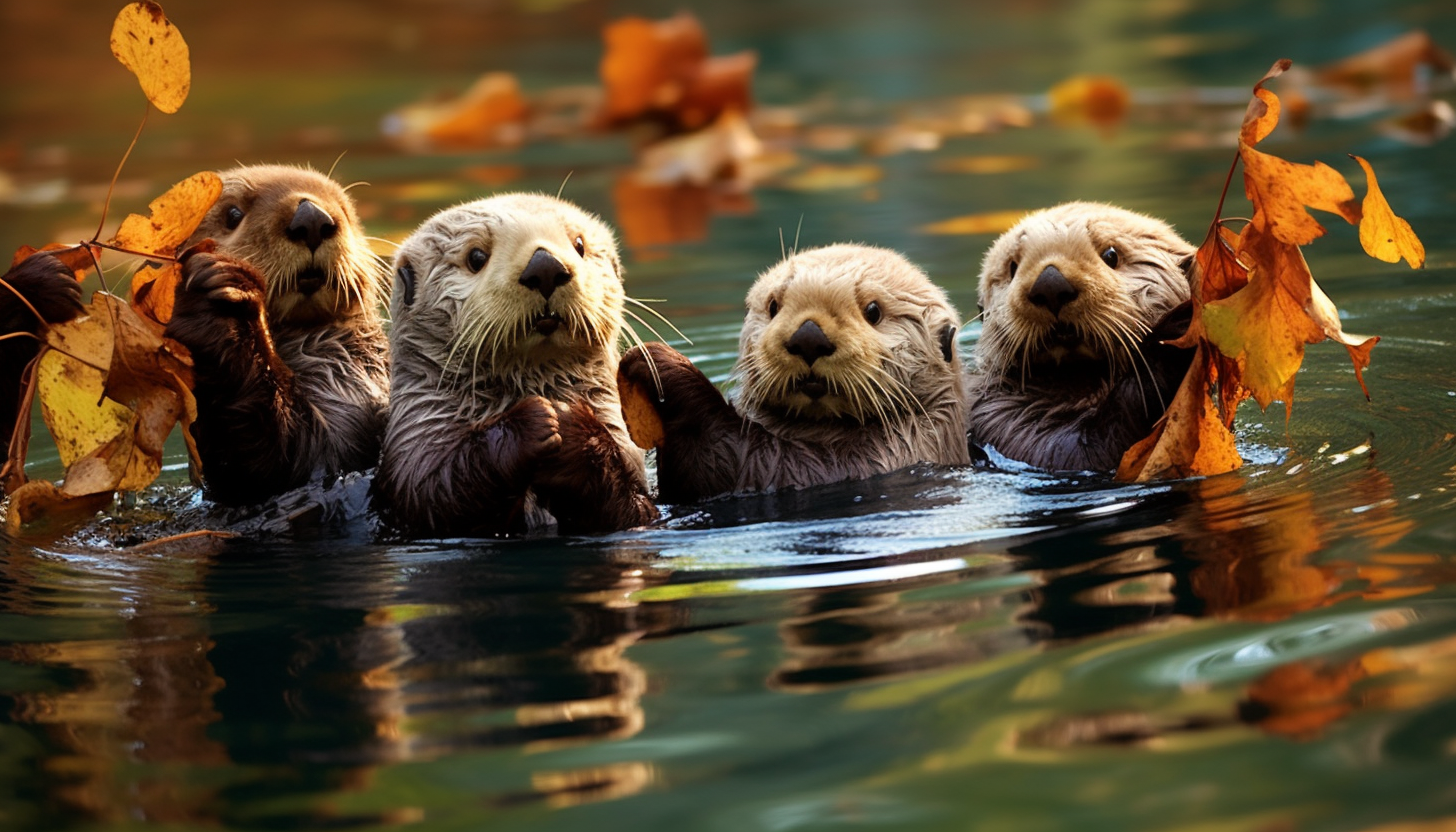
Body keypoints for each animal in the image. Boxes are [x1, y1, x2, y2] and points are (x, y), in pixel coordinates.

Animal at [375, 192, 655, 536]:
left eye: (579, 244)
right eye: (476, 257)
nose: (546, 266)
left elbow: (632, 509)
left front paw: (571, 425)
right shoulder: (417, 442)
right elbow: (437, 494)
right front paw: (539, 420)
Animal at [614, 240, 966, 501]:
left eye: (873, 311)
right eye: (773, 306)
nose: (809, 338)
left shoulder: (891, 455)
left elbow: (757, 464)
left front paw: (659, 361)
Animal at [966, 202, 1193, 475]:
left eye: (1111, 255)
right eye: (1012, 268)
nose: (1050, 284)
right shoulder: (998, 415)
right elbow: (1069, 451)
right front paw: (1179, 325)